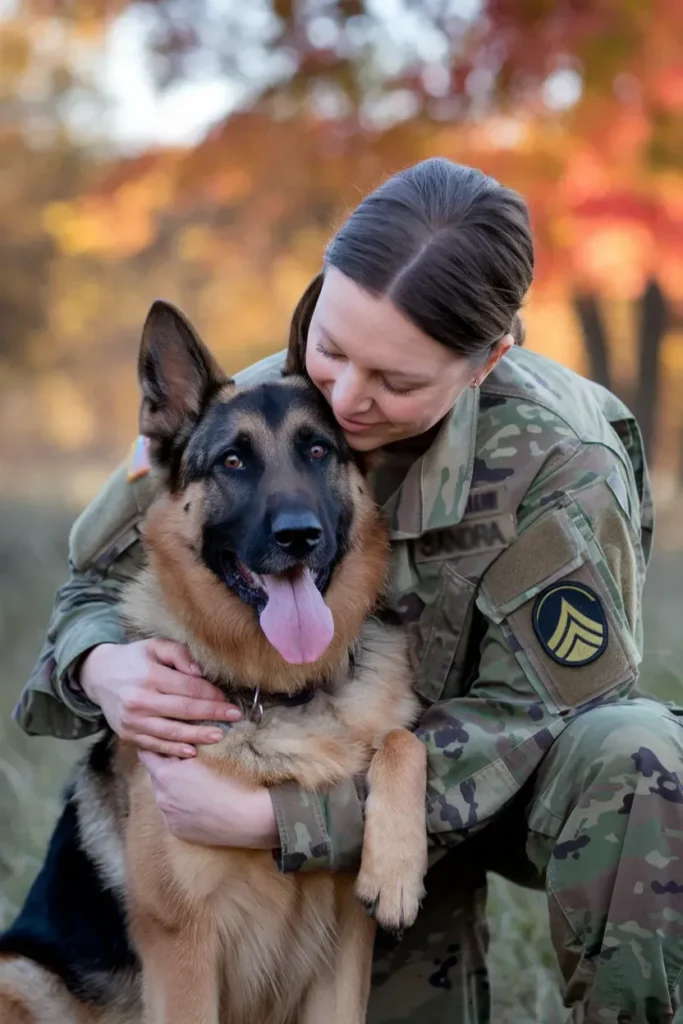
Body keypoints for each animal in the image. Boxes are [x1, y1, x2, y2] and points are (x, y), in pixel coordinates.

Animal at [0, 299, 428, 1019]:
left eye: (318, 451)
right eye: (232, 461)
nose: (298, 536)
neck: (275, 695)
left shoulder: (346, 948)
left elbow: (403, 740)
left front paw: (396, 870)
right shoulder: (184, 952)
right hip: (20, 975)